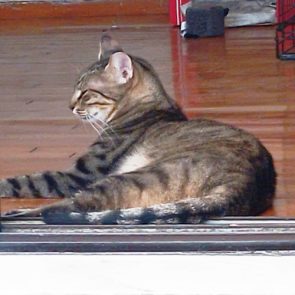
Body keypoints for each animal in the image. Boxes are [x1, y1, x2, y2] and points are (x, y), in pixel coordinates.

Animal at [0, 33, 278, 225]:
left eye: (85, 93)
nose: (69, 106)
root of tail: (244, 184)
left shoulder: (82, 174)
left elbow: (28, 179)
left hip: (129, 177)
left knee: (66, 207)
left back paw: (13, 214)